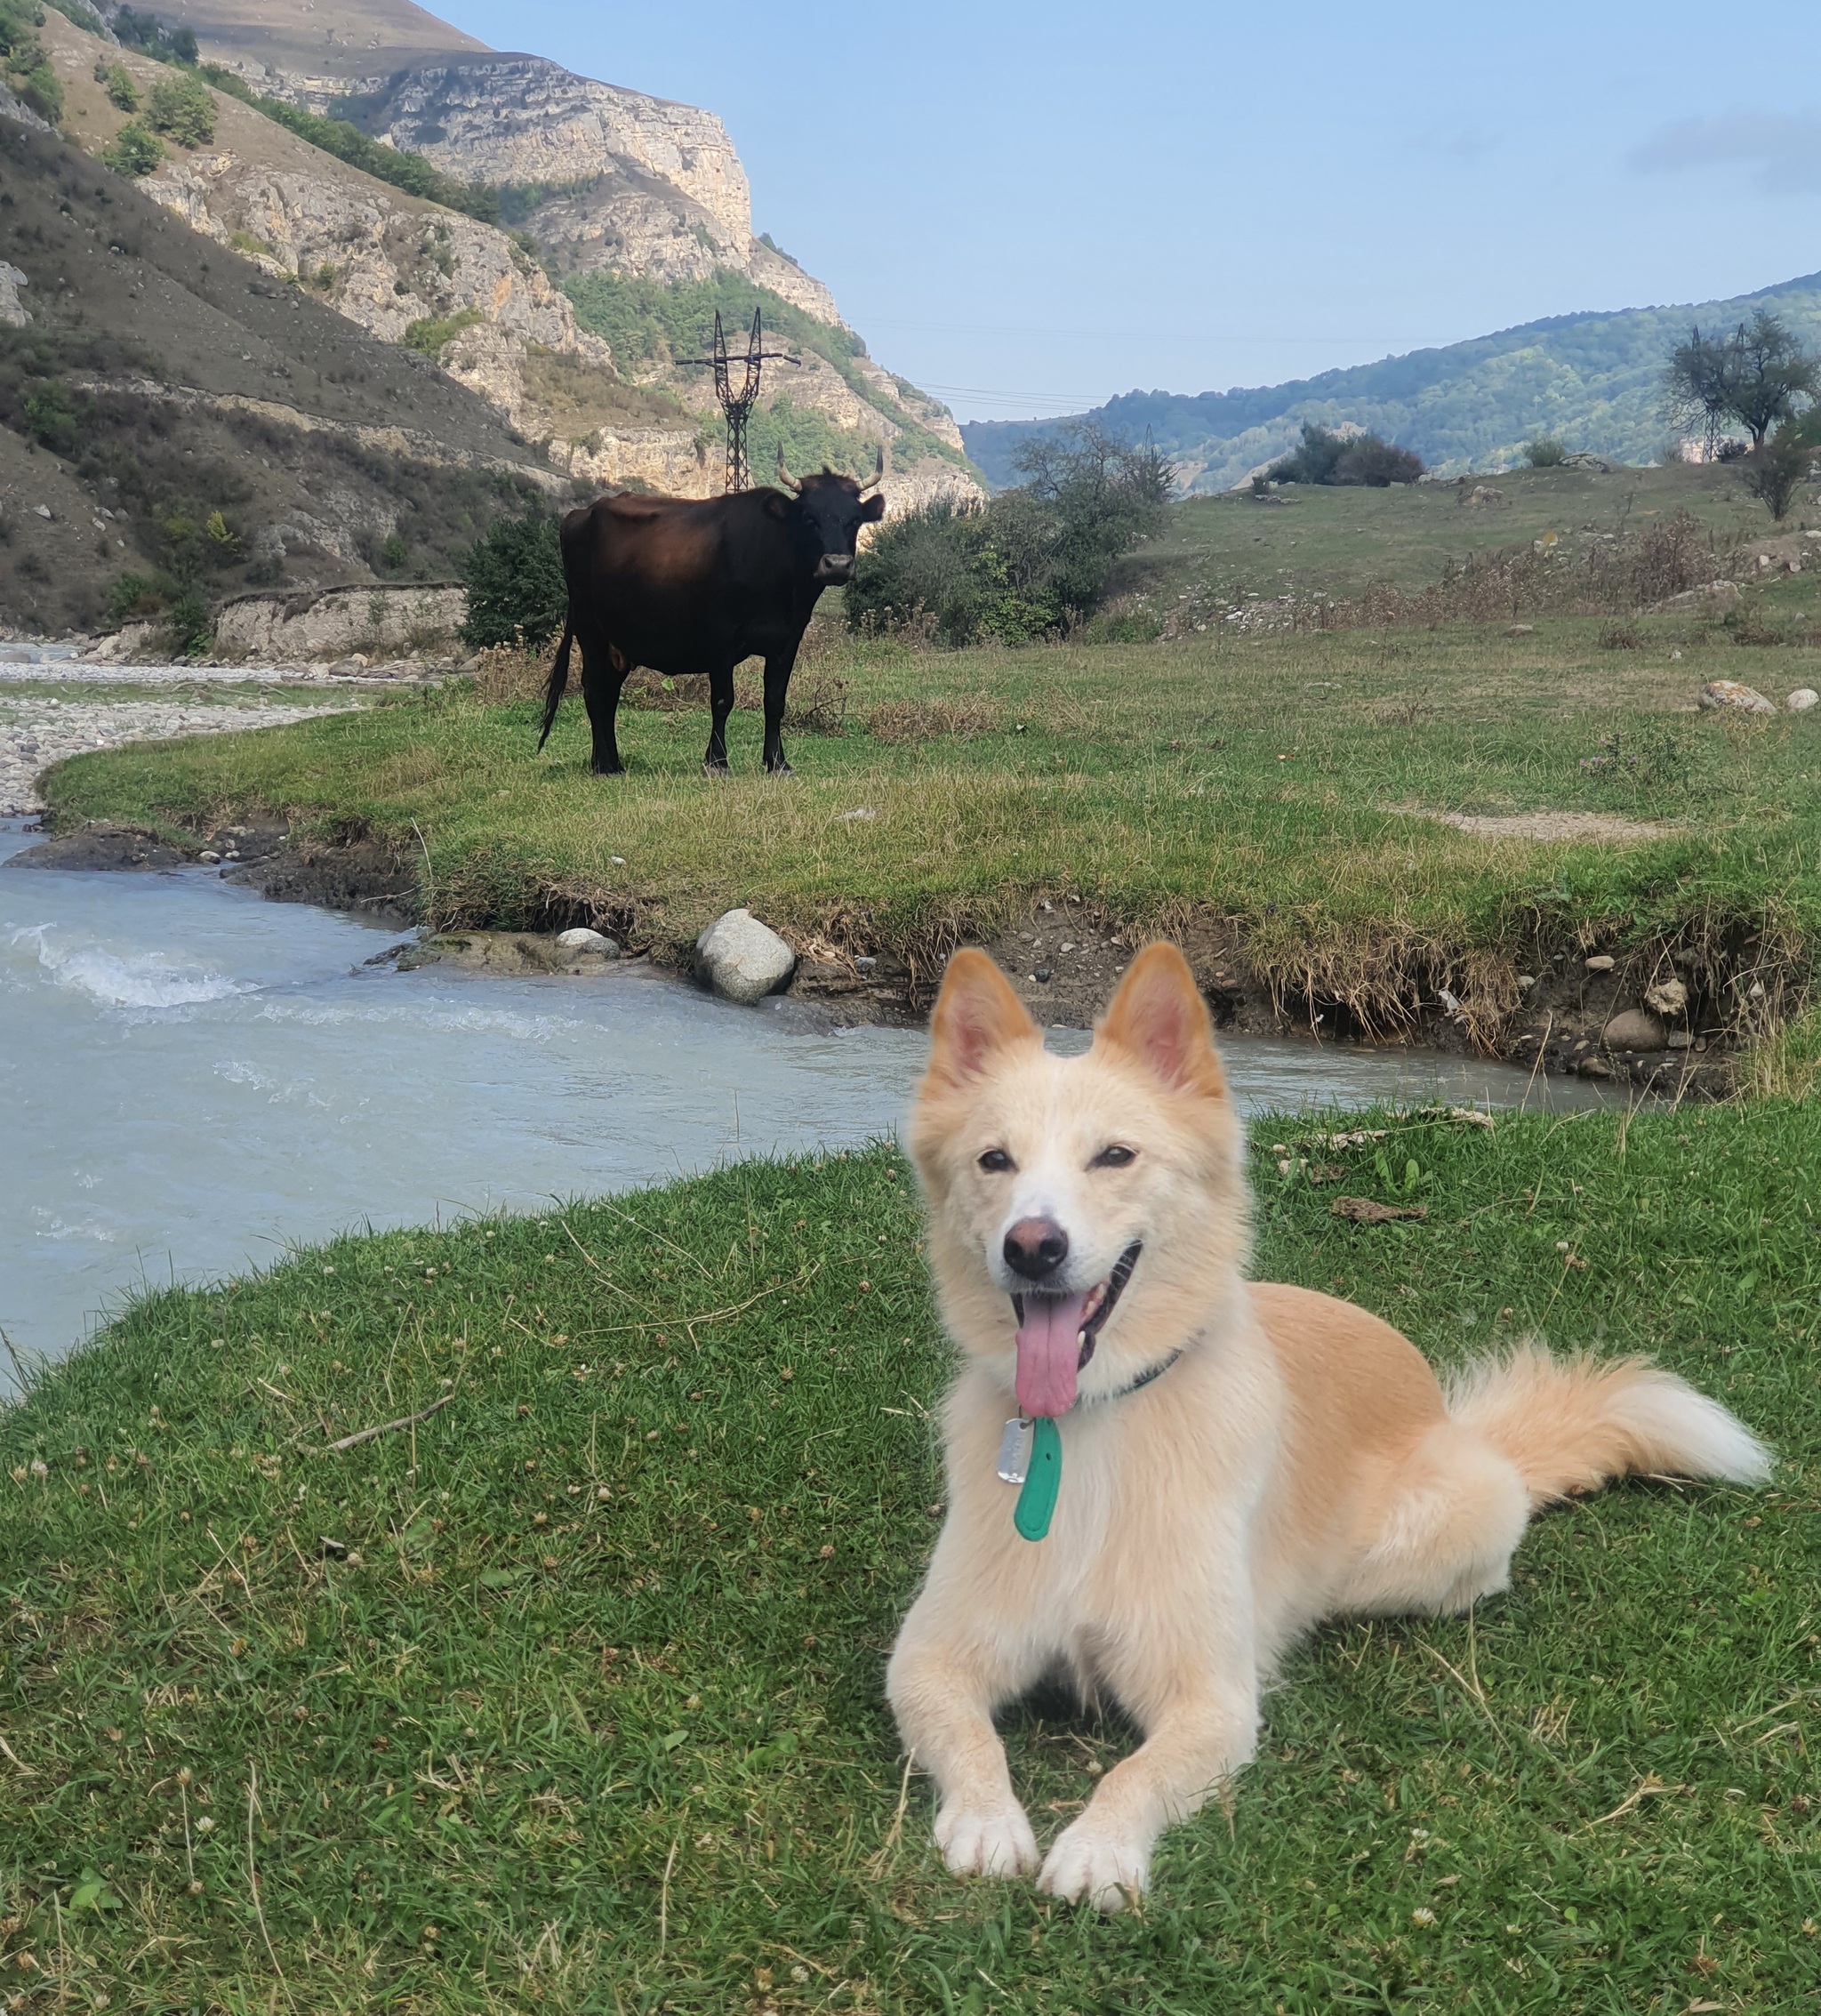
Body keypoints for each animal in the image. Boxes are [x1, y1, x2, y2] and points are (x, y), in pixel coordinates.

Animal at [536, 451, 886, 778]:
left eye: (854, 519)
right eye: (808, 517)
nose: (837, 564)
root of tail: (581, 514)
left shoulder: (787, 641)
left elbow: (775, 701)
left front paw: (777, 762)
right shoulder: (721, 638)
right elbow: (722, 701)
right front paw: (717, 762)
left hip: (619, 641)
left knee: (608, 692)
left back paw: (614, 763)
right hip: (590, 630)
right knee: (595, 690)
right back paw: (602, 765)